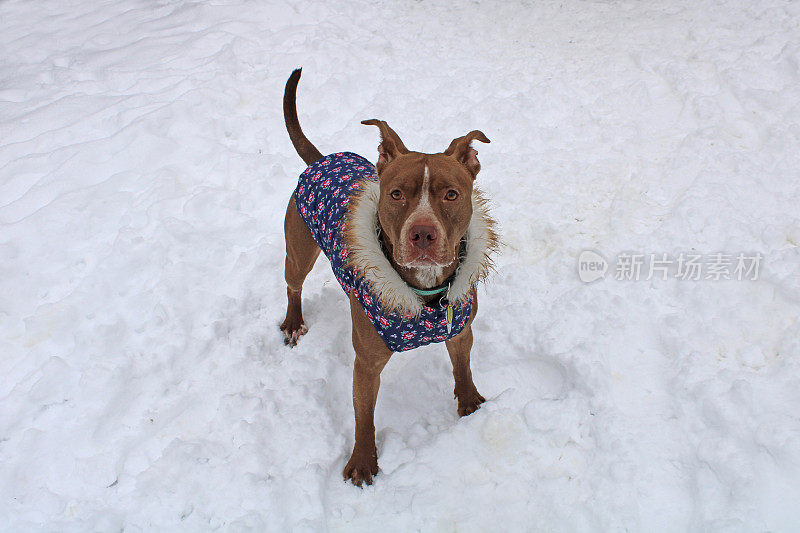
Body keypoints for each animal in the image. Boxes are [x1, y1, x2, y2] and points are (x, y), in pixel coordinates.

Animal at [278, 70, 496, 486]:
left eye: (451, 194)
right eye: (395, 194)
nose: (422, 233)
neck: (424, 289)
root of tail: (322, 160)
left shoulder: (459, 329)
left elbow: (462, 367)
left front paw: (470, 404)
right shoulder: (366, 363)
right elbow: (364, 416)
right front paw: (364, 462)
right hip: (298, 252)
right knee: (293, 285)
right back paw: (294, 322)